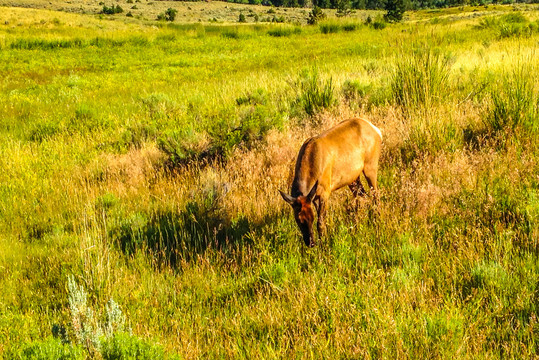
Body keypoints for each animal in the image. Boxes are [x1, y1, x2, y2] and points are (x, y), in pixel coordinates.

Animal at [280, 118, 382, 248]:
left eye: (311, 218)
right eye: (298, 219)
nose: (311, 243)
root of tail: (377, 130)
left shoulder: (325, 191)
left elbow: (321, 222)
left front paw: (325, 244)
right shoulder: (314, 196)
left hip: (371, 166)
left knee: (375, 195)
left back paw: (376, 222)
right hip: (353, 178)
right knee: (362, 196)